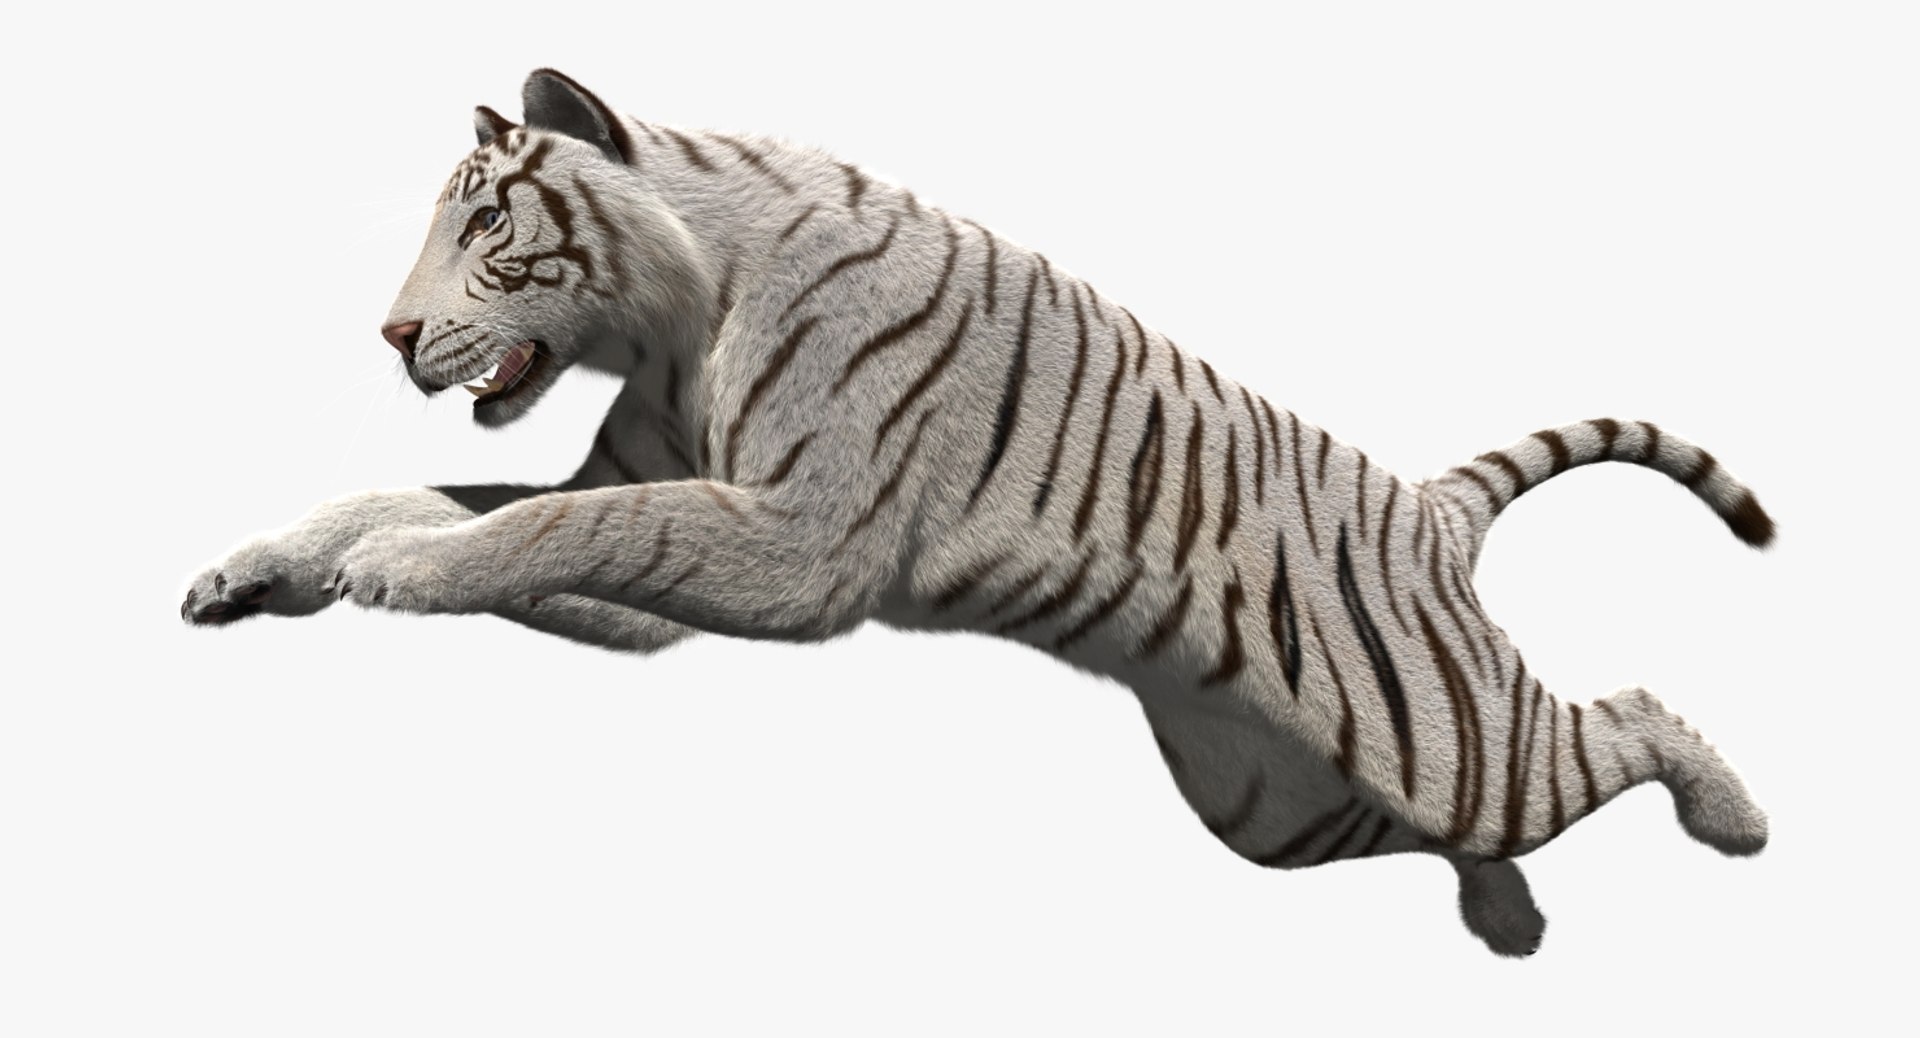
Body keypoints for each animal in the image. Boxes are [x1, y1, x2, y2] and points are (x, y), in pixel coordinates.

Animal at [180, 68, 1774, 957]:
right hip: (1280, 806)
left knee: (1626, 716)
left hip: (1455, 744)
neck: (672, 320)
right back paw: (1510, 921)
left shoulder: (794, 546)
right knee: (1486, 819)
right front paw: (257, 570)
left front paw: (393, 569)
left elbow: (541, 530)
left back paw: (1737, 821)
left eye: (489, 221)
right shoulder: (646, 505)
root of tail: (1427, 503)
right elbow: (457, 501)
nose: (392, 337)